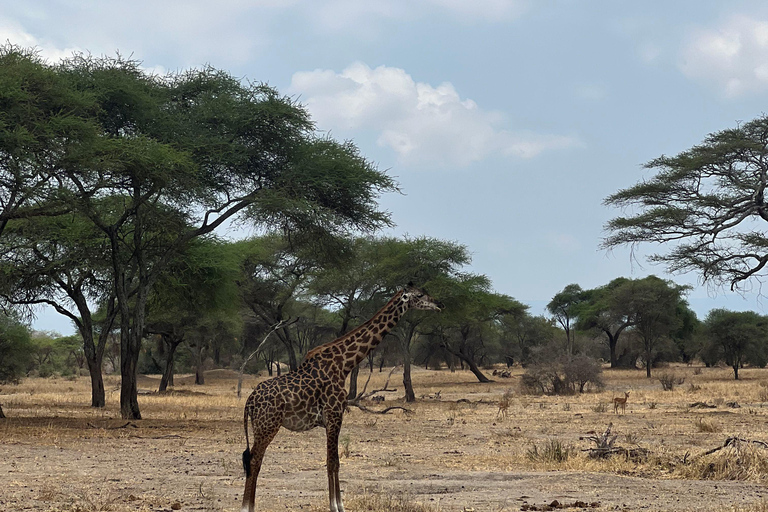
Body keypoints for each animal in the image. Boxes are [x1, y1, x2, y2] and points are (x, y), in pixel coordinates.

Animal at [240, 284, 444, 512]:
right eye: (420, 295)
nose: (439, 304)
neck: (344, 364)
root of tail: (249, 401)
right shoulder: (334, 415)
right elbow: (333, 462)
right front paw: (337, 506)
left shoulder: (331, 418)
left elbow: (334, 462)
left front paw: (339, 504)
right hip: (268, 425)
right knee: (254, 460)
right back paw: (247, 507)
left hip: (261, 426)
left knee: (253, 460)